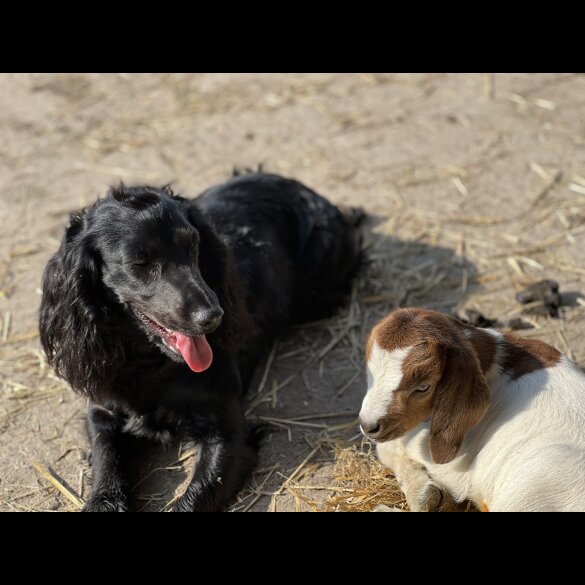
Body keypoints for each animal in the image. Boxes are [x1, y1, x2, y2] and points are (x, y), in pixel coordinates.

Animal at [38, 172, 360, 512]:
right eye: (139, 262)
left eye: (193, 245)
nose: (213, 317)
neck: (150, 365)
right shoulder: (102, 413)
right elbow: (106, 465)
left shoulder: (227, 432)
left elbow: (196, 494)